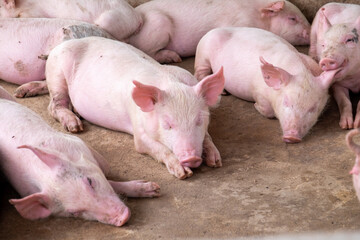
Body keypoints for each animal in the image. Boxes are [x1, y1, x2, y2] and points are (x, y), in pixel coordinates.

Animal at [0, 86, 160, 227]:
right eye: (74, 212)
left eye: (89, 182)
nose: (122, 218)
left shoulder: (78, 143)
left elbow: (106, 171)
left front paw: (155, 190)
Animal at [45, 37, 225, 180]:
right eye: (167, 124)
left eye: (199, 121)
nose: (192, 158)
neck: (172, 85)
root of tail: (64, 44)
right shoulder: (138, 128)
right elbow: (152, 147)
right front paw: (183, 173)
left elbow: (207, 137)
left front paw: (216, 161)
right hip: (56, 72)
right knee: (54, 105)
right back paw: (75, 126)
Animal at [128, 0, 310, 63]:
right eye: (292, 19)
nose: (309, 31)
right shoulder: (240, 22)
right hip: (158, 24)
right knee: (148, 52)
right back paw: (175, 58)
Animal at [195, 27, 338, 144]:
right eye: (286, 102)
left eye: (313, 108)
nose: (292, 137)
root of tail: (214, 30)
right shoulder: (258, 91)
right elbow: (266, 110)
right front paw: (255, 106)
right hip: (203, 53)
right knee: (200, 73)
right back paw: (223, 92)